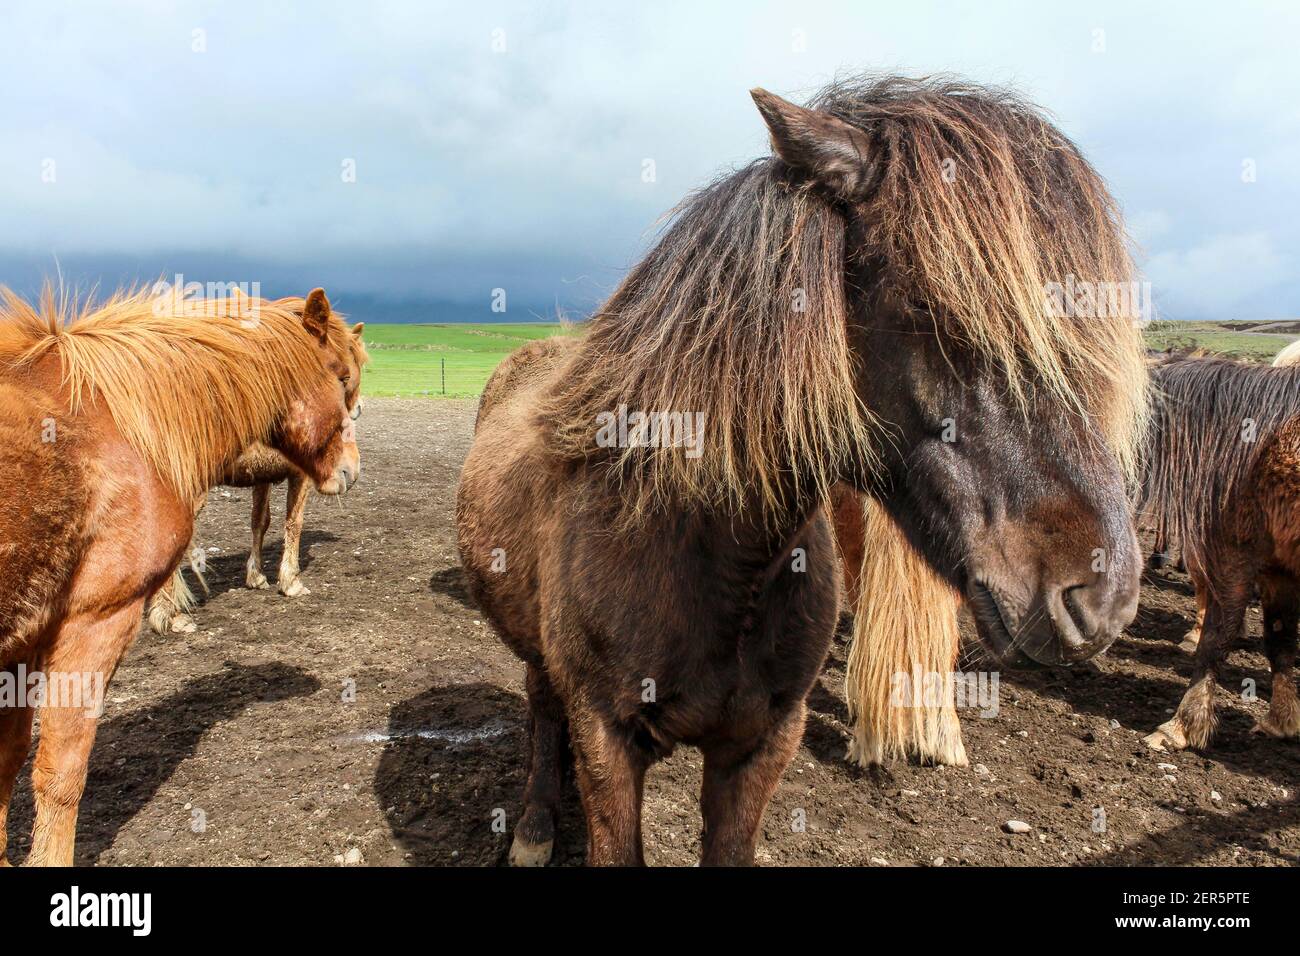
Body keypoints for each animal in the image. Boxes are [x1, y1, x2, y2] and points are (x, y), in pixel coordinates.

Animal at [148, 323, 371, 634]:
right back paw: (170, 614)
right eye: (349, 371)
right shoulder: (299, 474)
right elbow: (294, 522)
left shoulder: (262, 476)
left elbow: (259, 521)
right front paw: (290, 581)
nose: (358, 408)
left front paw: (256, 576)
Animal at [457, 74, 1149, 868]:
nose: (1103, 597)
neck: (715, 561)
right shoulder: (608, 742)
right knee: (542, 703)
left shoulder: (762, 746)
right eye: (930, 305)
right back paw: (536, 824)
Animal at [1144, 356, 1300, 749]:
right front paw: (1282, 720)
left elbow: (1215, 639)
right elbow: (1280, 640)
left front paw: (1183, 724)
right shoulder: (1278, 571)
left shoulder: (1233, 558)